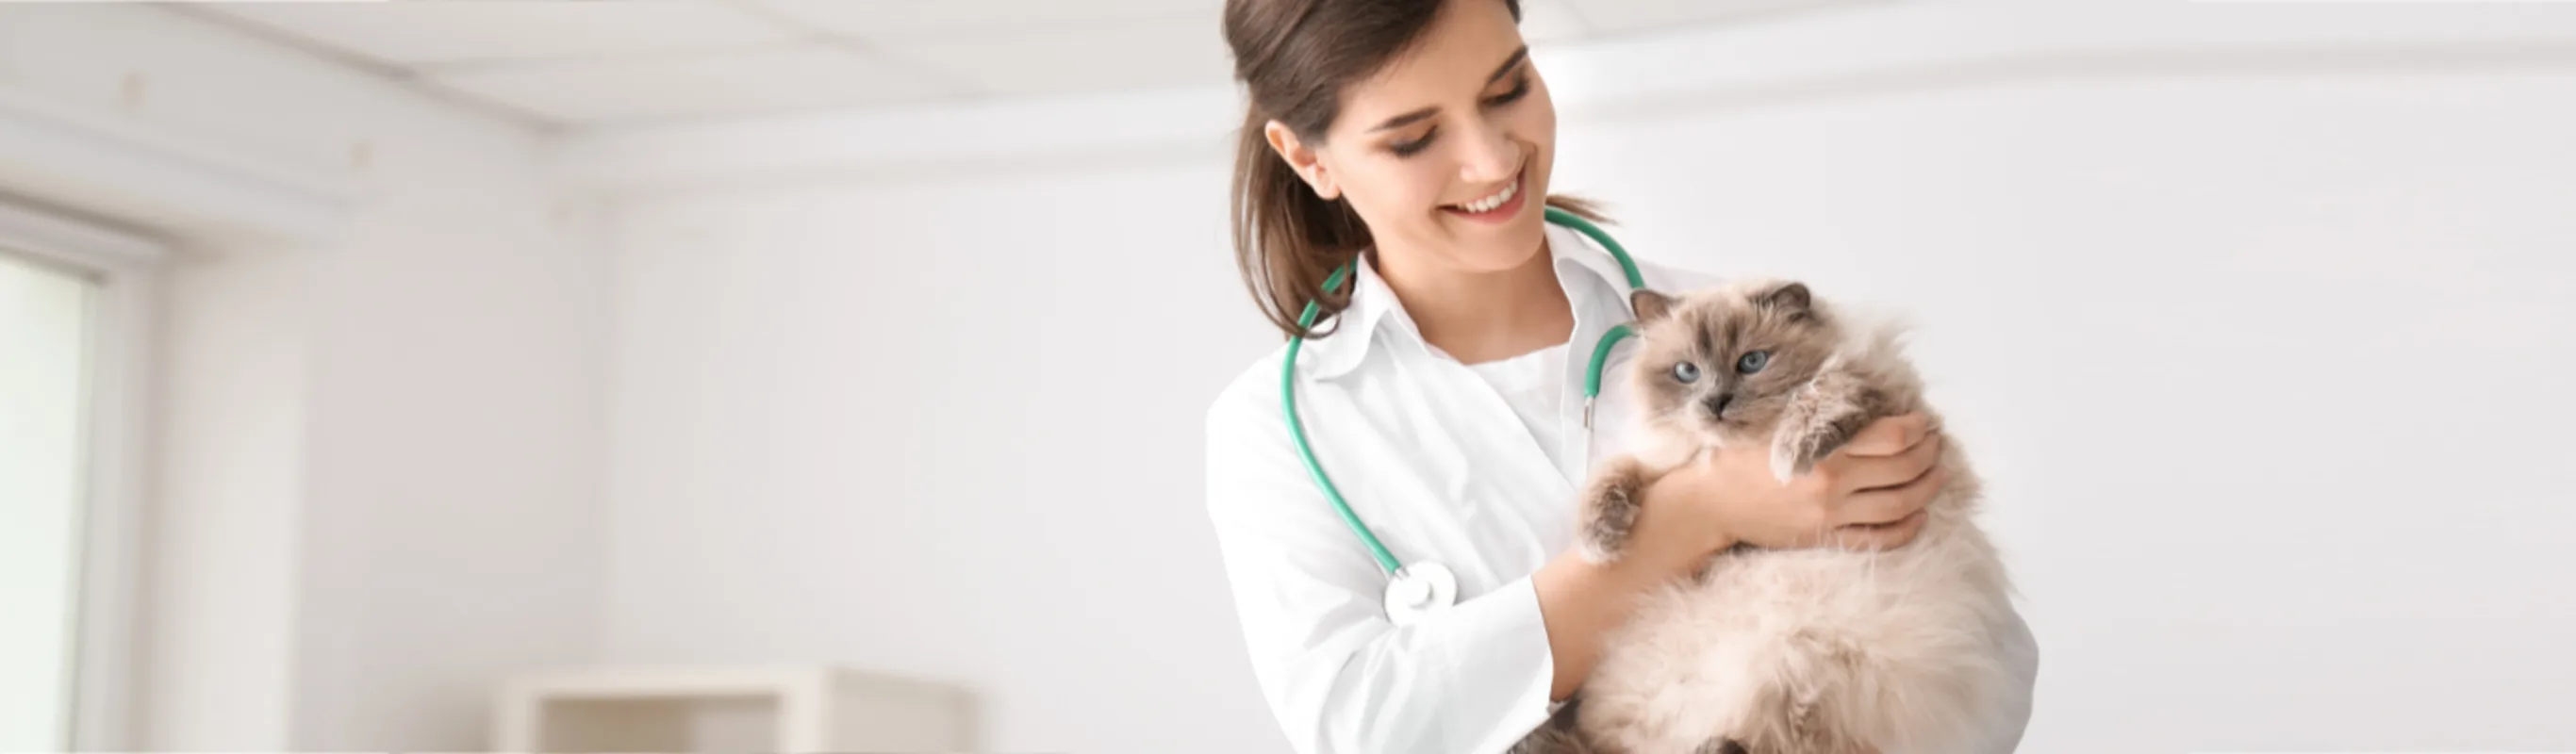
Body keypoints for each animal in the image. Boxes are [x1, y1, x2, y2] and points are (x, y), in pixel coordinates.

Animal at [1514, 277, 2019, 751]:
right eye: (1686, 372)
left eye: (1752, 362)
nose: (1716, 403)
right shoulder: (1664, 463)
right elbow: (1613, 473)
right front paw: (1600, 540)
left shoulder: (1883, 390)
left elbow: (1827, 388)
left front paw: (1792, 453)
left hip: (1804, 660)